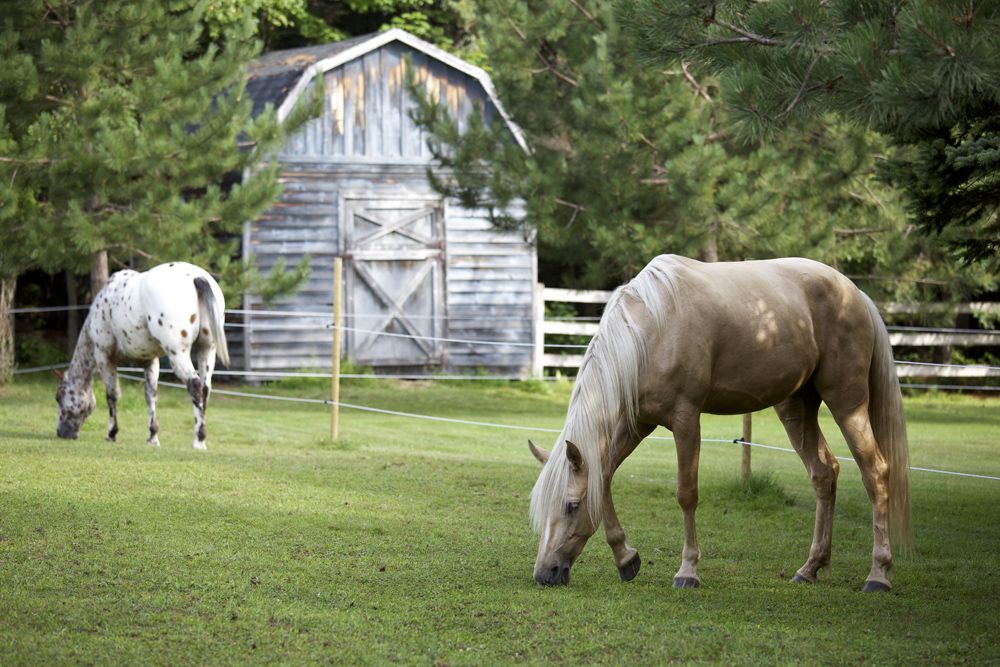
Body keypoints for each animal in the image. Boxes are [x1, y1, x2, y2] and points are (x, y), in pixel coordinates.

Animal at [55, 260, 229, 448]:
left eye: (59, 397)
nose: (61, 433)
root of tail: (197, 277)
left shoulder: (104, 357)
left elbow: (111, 395)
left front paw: (111, 433)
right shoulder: (150, 361)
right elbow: (150, 396)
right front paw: (153, 437)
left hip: (178, 354)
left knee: (195, 385)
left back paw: (198, 441)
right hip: (207, 350)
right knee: (205, 388)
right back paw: (201, 439)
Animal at [536, 253, 912, 592]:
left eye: (571, 506)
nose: (544, 574)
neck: (653, 330)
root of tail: (855, 293)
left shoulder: (686, 420)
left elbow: (686, 494)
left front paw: (687, 571)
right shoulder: (637, 424)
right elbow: (605, 477)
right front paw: (626, 558)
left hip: (848, 403)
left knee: (875, 472)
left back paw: (878, 575)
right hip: (796, 408)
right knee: (825, 473)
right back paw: (810, 568)